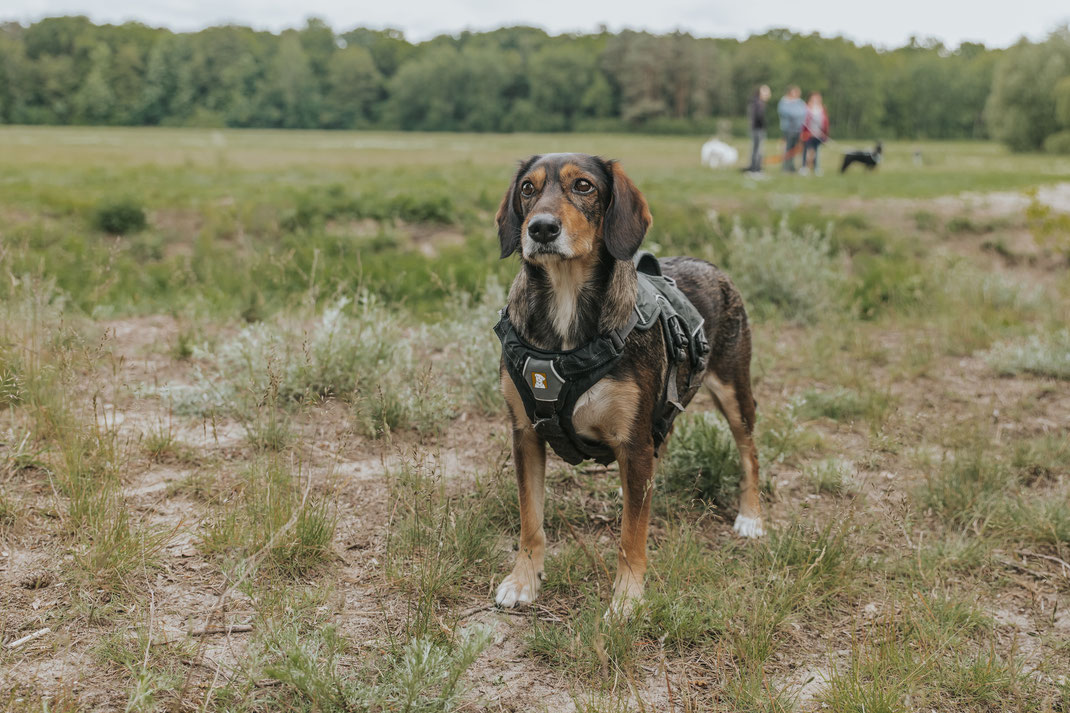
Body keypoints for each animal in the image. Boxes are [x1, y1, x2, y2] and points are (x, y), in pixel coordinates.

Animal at [492, 153, 761, 612]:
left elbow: (631, 534)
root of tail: (708, 264)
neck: (565, 303)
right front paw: (524, 579)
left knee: (749, 452)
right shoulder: (525, 433)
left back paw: (751, 516)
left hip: (733, 388)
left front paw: (627, 599)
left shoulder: (632, 439)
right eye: (527, 188)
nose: (540, 228)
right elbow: (532, 520)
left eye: (583, 186)